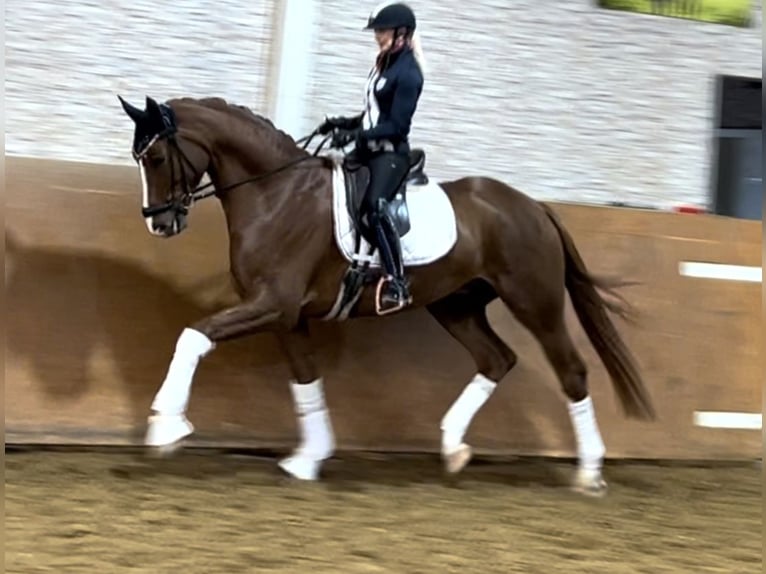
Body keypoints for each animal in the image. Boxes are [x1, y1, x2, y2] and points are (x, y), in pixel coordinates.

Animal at [118, 95, 656, 500]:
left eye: (157, 157)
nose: (159, 222)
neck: (277, 193)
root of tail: (534, 206)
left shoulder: (273, 305)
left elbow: (193, 337)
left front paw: (165, 426)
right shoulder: (287, 317)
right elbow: (305, 379)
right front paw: (308, 459)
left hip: (535, 303)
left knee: (572, 372)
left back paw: (588, 474)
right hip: (456, 305)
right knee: (497, 359)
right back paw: (453, 447)